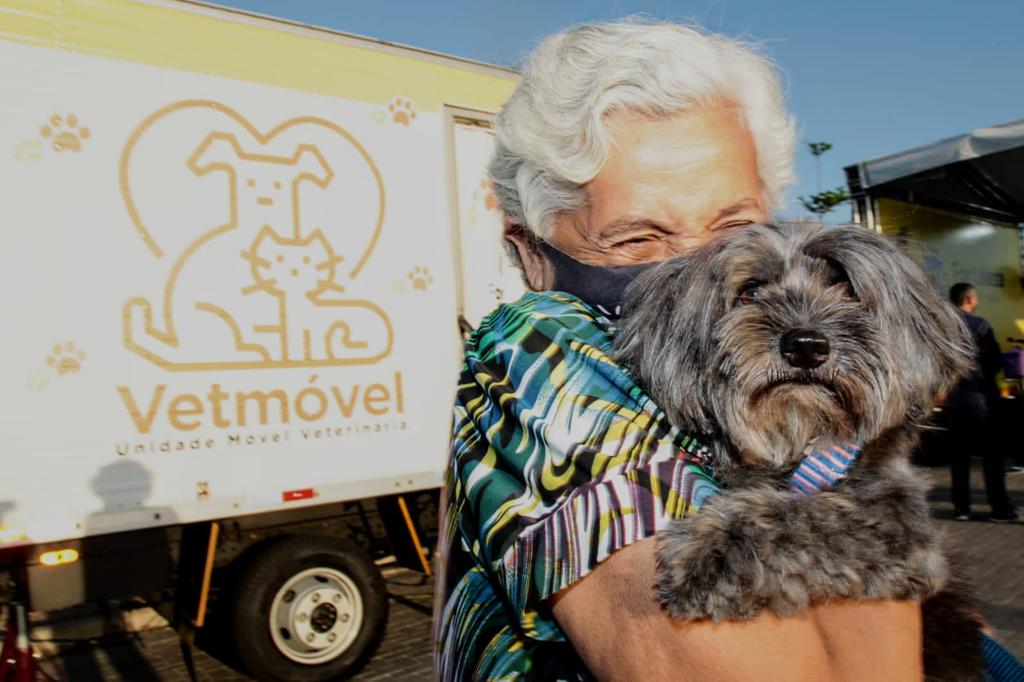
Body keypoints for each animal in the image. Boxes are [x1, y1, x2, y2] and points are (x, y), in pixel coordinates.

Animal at [613, 222, 986, 680]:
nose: (806, 344)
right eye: (751, 291)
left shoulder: (901, 521)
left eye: (846, 287)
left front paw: (715, 549)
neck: (801, 435)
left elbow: (816, 517)